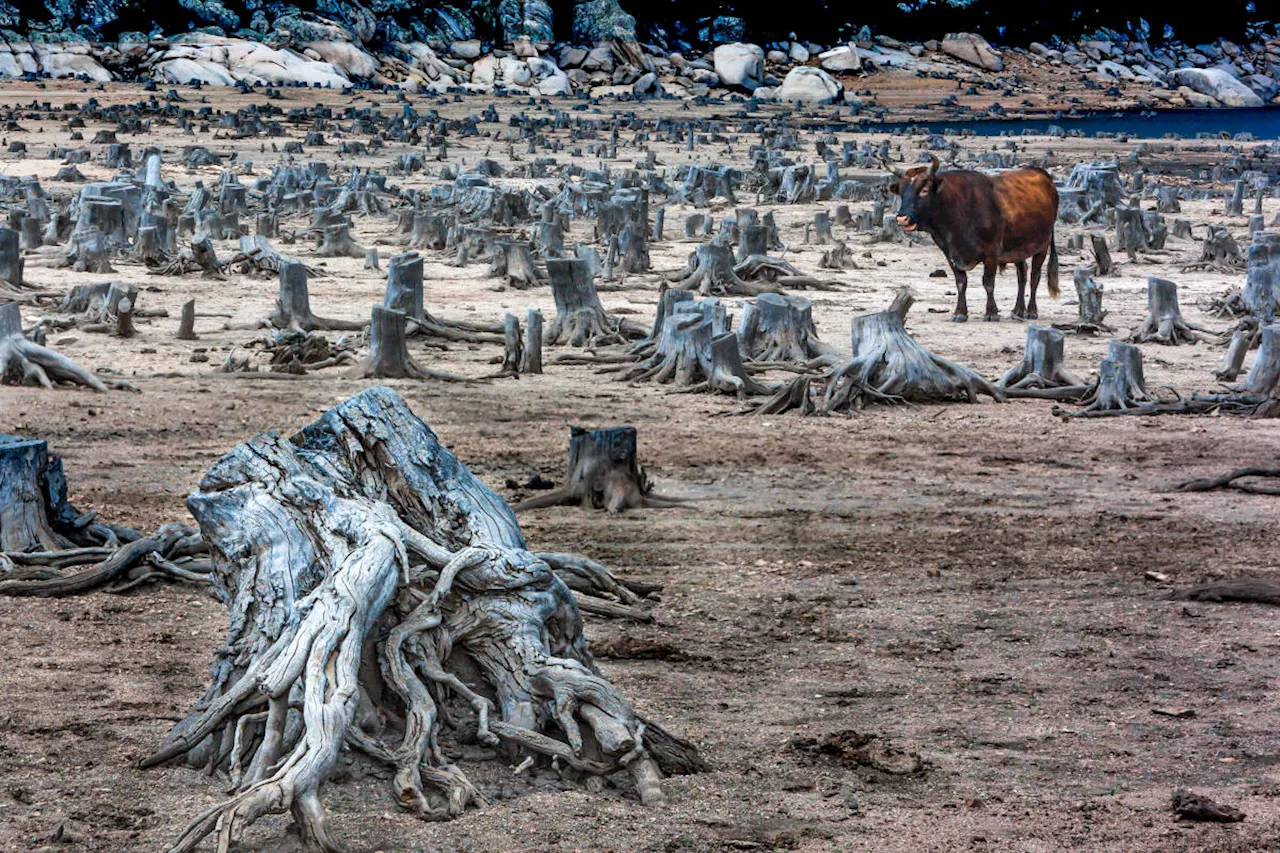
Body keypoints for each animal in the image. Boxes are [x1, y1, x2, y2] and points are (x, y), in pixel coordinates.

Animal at [890, 154, 1059, 320]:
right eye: (902, 192)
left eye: (924, 190)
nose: (902, 218)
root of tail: (1041, 174)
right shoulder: (949, 252)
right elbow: (961, 282)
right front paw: (960, 313)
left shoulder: (992, 251)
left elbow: (988, 282)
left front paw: (991, 312)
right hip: (1019, 247)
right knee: (1022, 275)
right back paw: (1018, 310)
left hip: (1042, 245)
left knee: (1034, 277)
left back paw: (1031, 311)